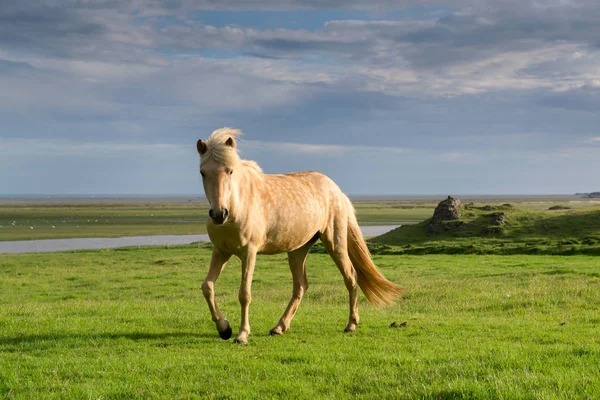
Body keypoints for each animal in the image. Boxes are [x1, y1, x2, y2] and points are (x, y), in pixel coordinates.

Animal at [197, 128, 404, 344]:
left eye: (230, 170)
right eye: (203, 172)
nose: (219, 214)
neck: (238, 206)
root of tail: (337, 191)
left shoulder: (249, 253)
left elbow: (244, 293)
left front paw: (242, 334)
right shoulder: (221, 251)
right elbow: (207, 287)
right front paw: (224, 328)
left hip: (335, 244)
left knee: (350, 277)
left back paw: (351, 324)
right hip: (298, 250)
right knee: (301, 286)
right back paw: (279, 327)